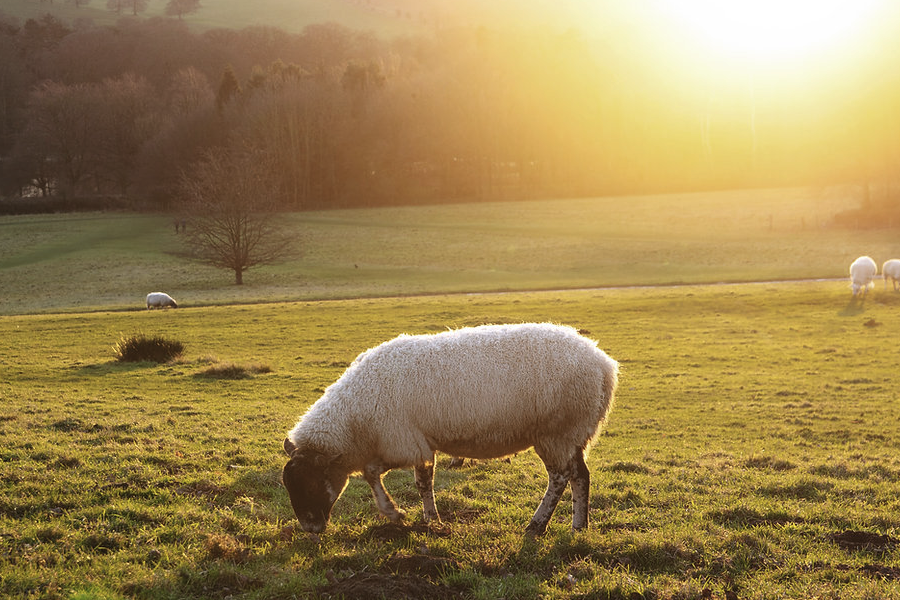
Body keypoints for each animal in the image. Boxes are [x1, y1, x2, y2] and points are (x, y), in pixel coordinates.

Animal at [282, 324, 620, 536]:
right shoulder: (417, 442)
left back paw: (537, 525)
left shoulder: (401, 441)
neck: (355, 422)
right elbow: (422, 483)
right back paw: (578, 526)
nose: (310, 530)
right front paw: (430, 520)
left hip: (556, 431)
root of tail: (603, 364)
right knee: (580, 475)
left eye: (312, 483)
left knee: (560, 478)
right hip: (573, 432)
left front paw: (394, 513)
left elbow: (373, 474)